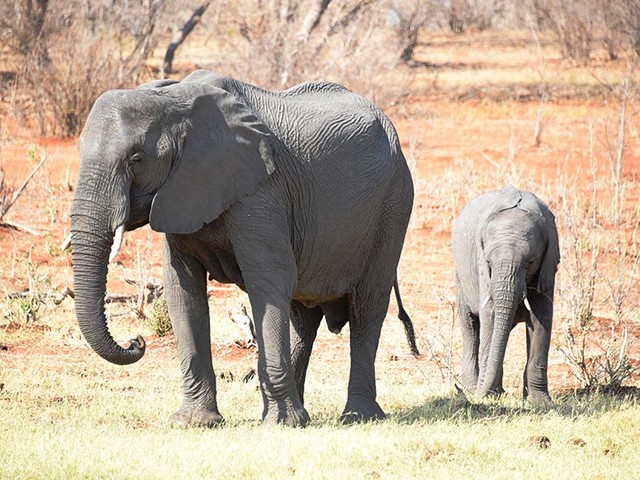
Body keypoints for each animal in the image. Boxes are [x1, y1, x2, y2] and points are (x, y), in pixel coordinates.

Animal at [69, 69, 416, 426]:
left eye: (136, 159)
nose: (136, 340)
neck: (174, 99)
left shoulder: (263, 189)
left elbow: (268, 278)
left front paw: (279, 425)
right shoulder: (181, 192)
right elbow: (183, 287)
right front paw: (195, 422)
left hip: (394, 203)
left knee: (367, 307)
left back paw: (356, 417)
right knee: (302, 315)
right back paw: (302, 415)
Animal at [450, 186, 560, 404]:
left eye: (530, 262)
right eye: (488, 262)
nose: (476, 398)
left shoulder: (547, 266)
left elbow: (542, 319)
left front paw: (540, 402)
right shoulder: (482, 268)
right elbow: (490, 315)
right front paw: (490, 395)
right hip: (461, 277)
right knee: (470, 326)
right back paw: (474, 387)